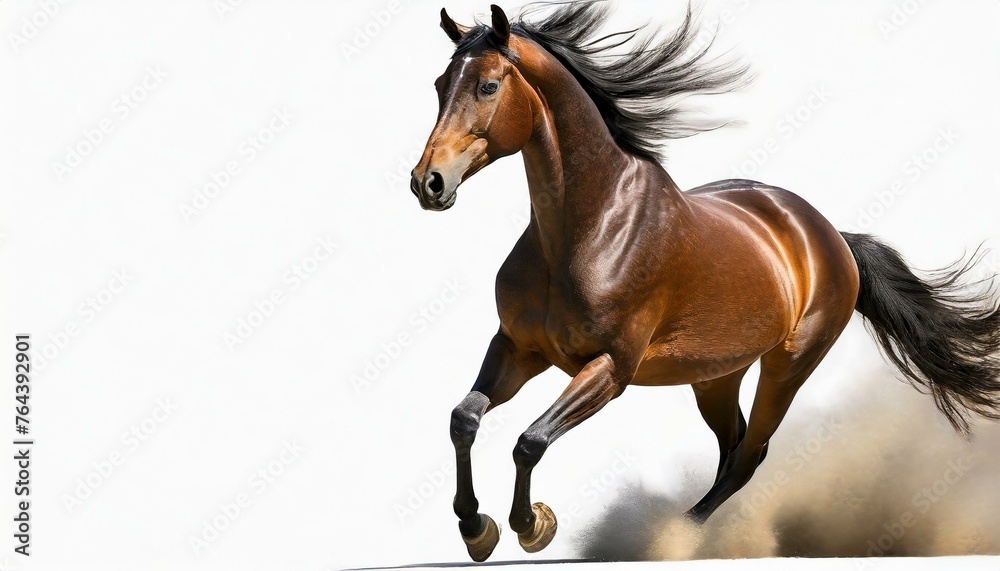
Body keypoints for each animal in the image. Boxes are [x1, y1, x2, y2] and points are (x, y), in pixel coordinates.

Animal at [408, 3, 1000, 562]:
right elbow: (464, 419)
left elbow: (530, 440)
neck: (587, 229)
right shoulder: (518, 347)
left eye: (488, 85)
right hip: (715, 376)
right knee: (732, 445)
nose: (428, 182)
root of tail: (830, 234)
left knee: (749, 454)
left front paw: (532, 526)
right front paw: (476, 529)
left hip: (789, 366)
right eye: (439, 84)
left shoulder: (610, 368)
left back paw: (675, 536)